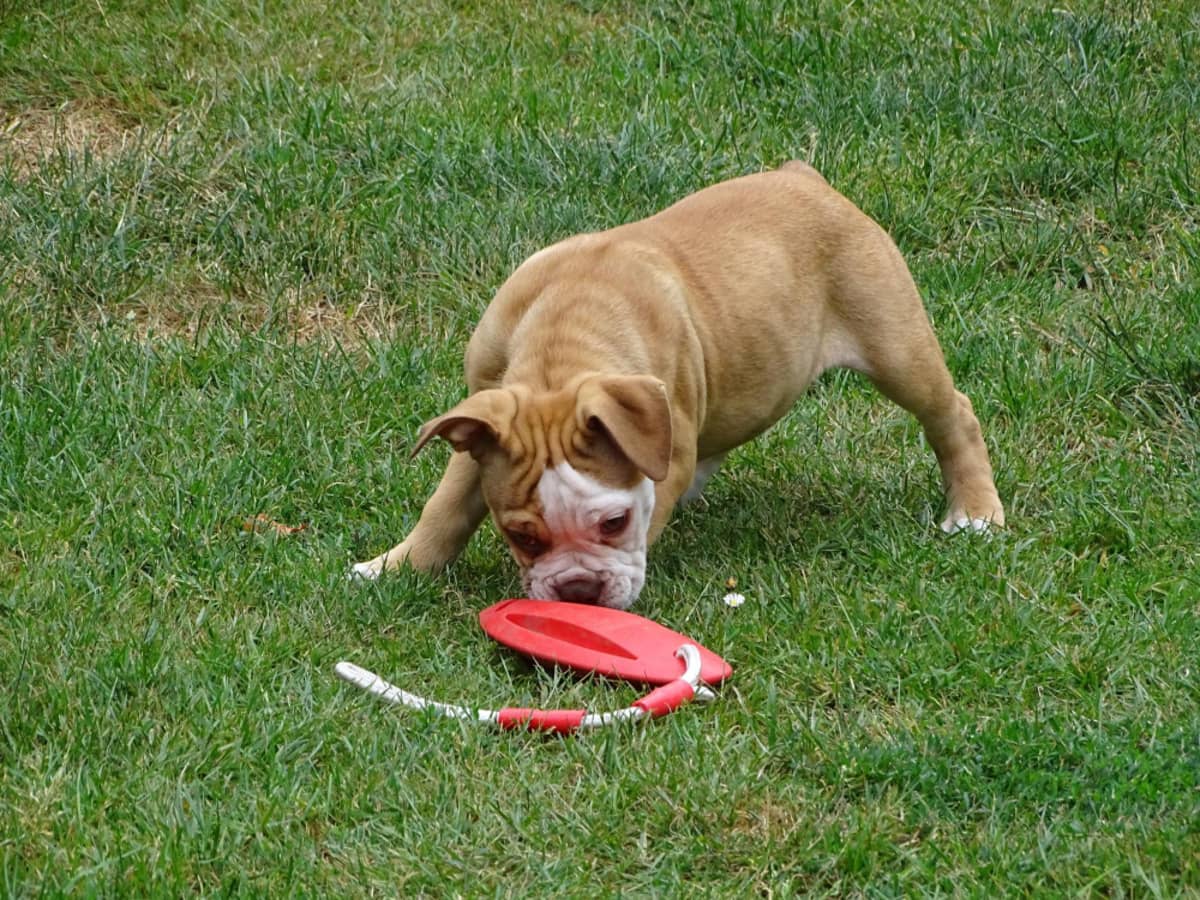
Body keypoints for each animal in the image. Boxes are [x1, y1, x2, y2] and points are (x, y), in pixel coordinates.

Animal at [352, 164, 1003, 609]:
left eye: (614, 524)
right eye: (520, 537)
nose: (579, 590)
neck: (564, 347)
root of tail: (803, 176)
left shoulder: (659, 458)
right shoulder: (483, 430)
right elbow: (444, 509)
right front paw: (395, 567)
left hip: (896, 344)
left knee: (951, 414)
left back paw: (974, 510)